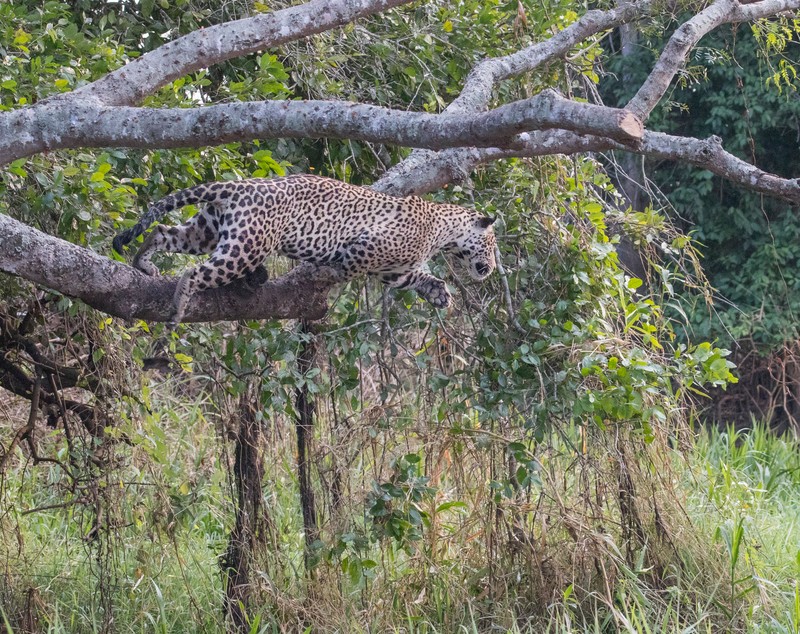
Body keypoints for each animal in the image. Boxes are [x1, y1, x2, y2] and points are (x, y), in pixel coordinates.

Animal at [112, 174, 497, 326]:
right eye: (492, 246)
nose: (491, 268)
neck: (444, 230)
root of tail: (235, 186)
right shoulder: (368, 247)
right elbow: (348, 265)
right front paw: (327, 270)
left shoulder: (394, 269)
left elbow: (415, 278)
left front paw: (440, 295)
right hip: (245, 247)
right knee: (194, 273)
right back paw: (179, 304)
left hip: (205, 231)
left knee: (161, 232)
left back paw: (144, 264)